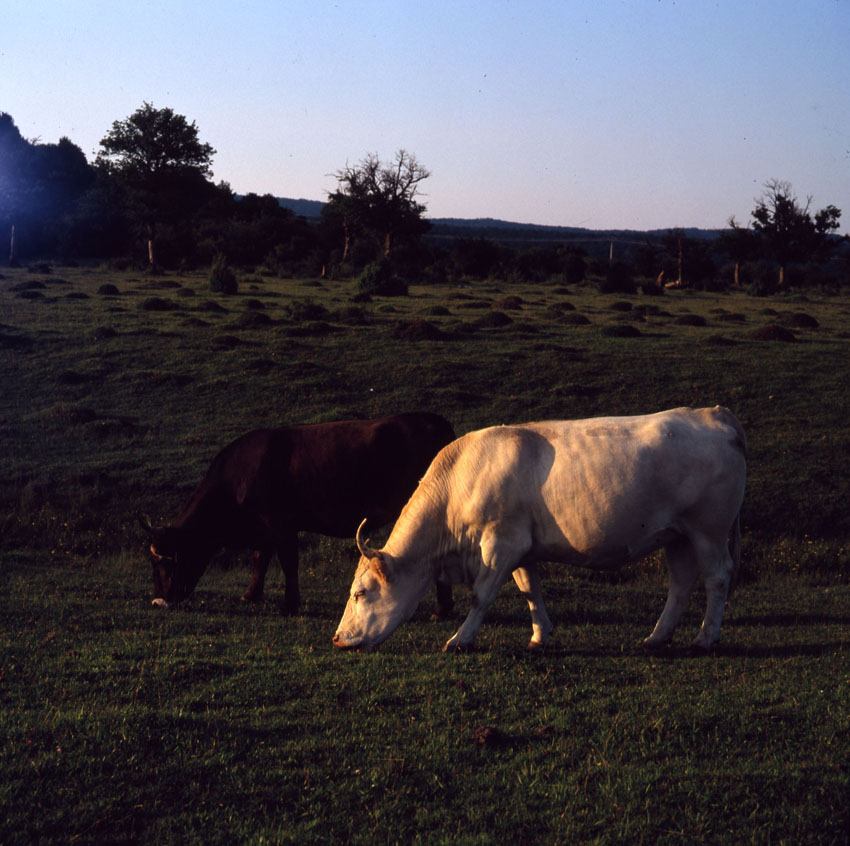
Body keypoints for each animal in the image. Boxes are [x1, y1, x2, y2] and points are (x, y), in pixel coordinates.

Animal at [139, 412, 456, 613]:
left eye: (163, 564)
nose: (158, 602)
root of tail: (434, 421)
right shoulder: (266, 529)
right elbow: (261, 558)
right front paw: (251, 595)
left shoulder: (281, 524)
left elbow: (288, 561)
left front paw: (290, 604)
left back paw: (441, 609)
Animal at [333, 407, 746, 653]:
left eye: (360, 592)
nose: (338, 638)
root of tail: (714, 414)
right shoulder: (521, 546)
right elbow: (530, 589)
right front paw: (539, 635)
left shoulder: (501, 543)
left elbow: (482, 595)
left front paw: (460, 639)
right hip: (677, 534)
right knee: (681, 583)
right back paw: (657, 636)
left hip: (708, 530)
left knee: (717, 578)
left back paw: (705, 637)